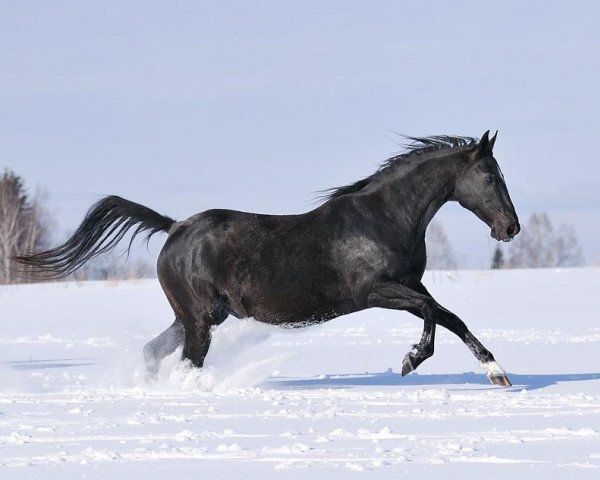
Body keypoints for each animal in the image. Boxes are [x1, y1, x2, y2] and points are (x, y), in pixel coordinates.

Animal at [14, 130, 520, 386]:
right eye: (490, 175)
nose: (511, 228)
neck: (383, 219)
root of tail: (175, 227)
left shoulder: (409, 285)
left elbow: (449, 316)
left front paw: (496, 373)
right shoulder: (376, 291)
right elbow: (434, 314)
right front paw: (411, 360)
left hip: (197, 316)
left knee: (154, 352)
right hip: (199, 319)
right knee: (187, 362)